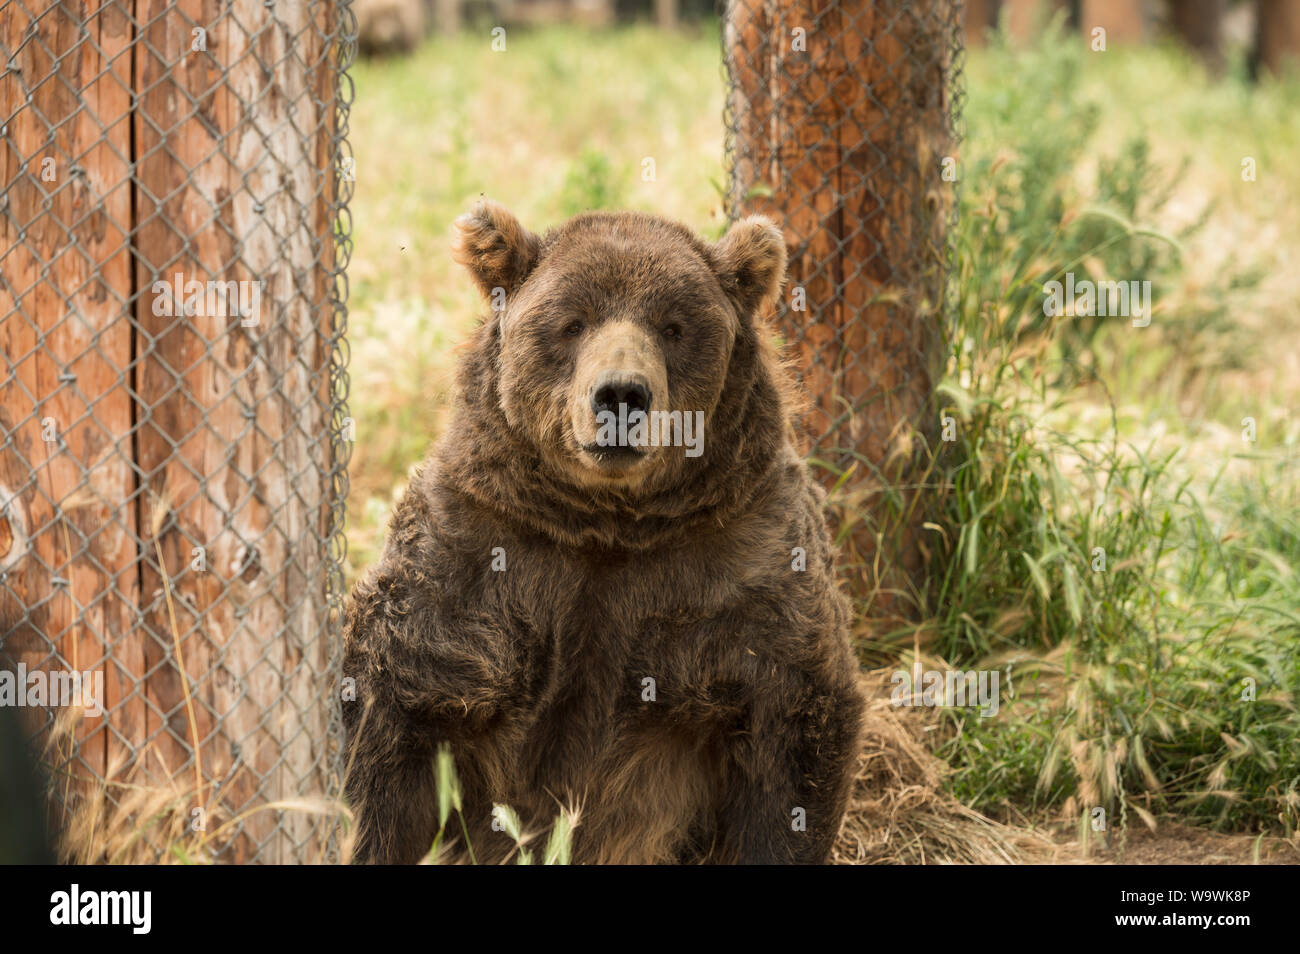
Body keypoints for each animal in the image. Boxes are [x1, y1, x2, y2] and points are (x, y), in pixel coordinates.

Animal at [342, 200, 865, 864]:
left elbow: (793, 727)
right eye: (572, 322)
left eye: (673, 326)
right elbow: (395, 716)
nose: (621, 394)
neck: (607, 522)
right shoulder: (474, 550)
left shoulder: (747, 559)